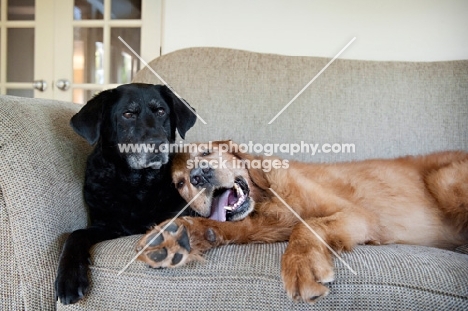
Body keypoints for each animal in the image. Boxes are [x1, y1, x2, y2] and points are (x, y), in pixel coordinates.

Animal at [55, 83, 197, 304]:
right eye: (128, 114)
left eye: (161, 111)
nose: (158, 143)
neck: (138, 184)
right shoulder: (107, 226)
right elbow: (75, 235)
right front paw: (69, 278)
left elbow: (170, 223)